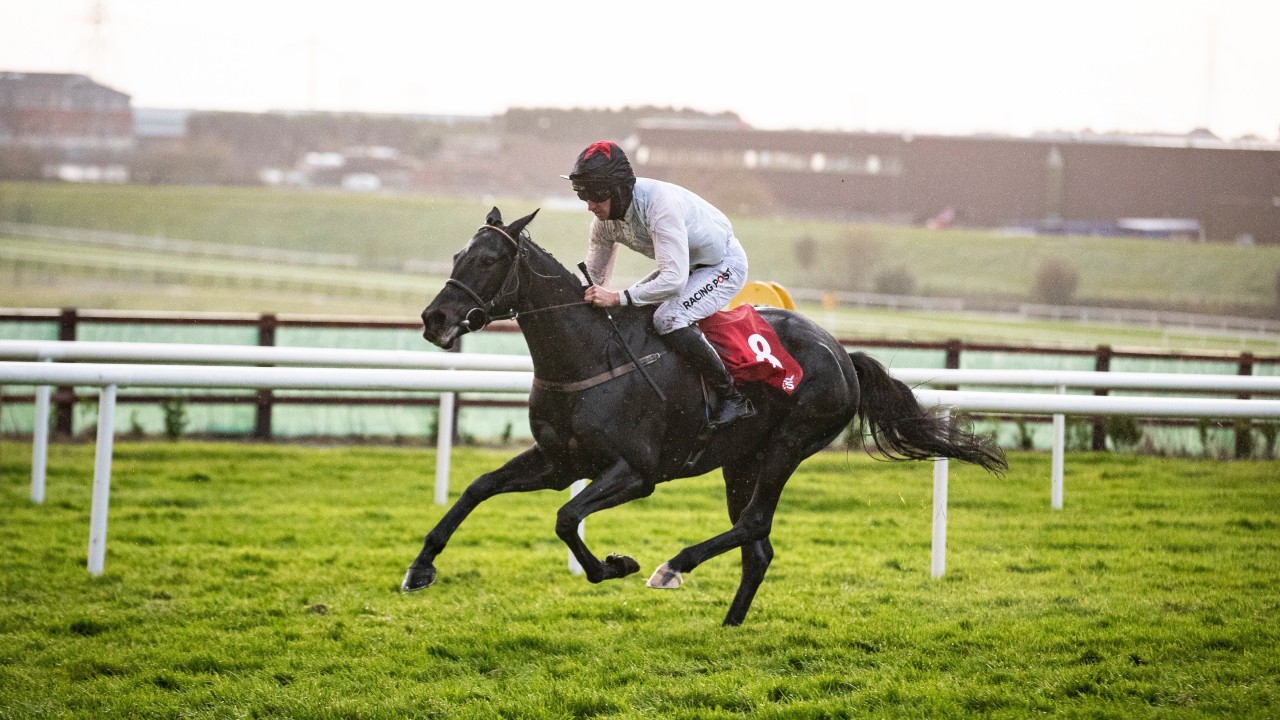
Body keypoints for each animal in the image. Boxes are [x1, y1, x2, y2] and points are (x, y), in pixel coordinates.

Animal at [405, 207, 1006, 626]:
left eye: (488, 261)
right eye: (458, 256)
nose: (434, 319)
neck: (590, 353)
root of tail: (843, 354)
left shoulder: (636, 472)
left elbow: (566, 517)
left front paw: (616, 565)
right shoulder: (559, 461)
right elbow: (479, 487)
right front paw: (420, 567)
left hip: (789, 444)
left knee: (755, 524)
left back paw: (673, 566)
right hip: (741, 460)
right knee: (758, 546)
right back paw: (729, 625)